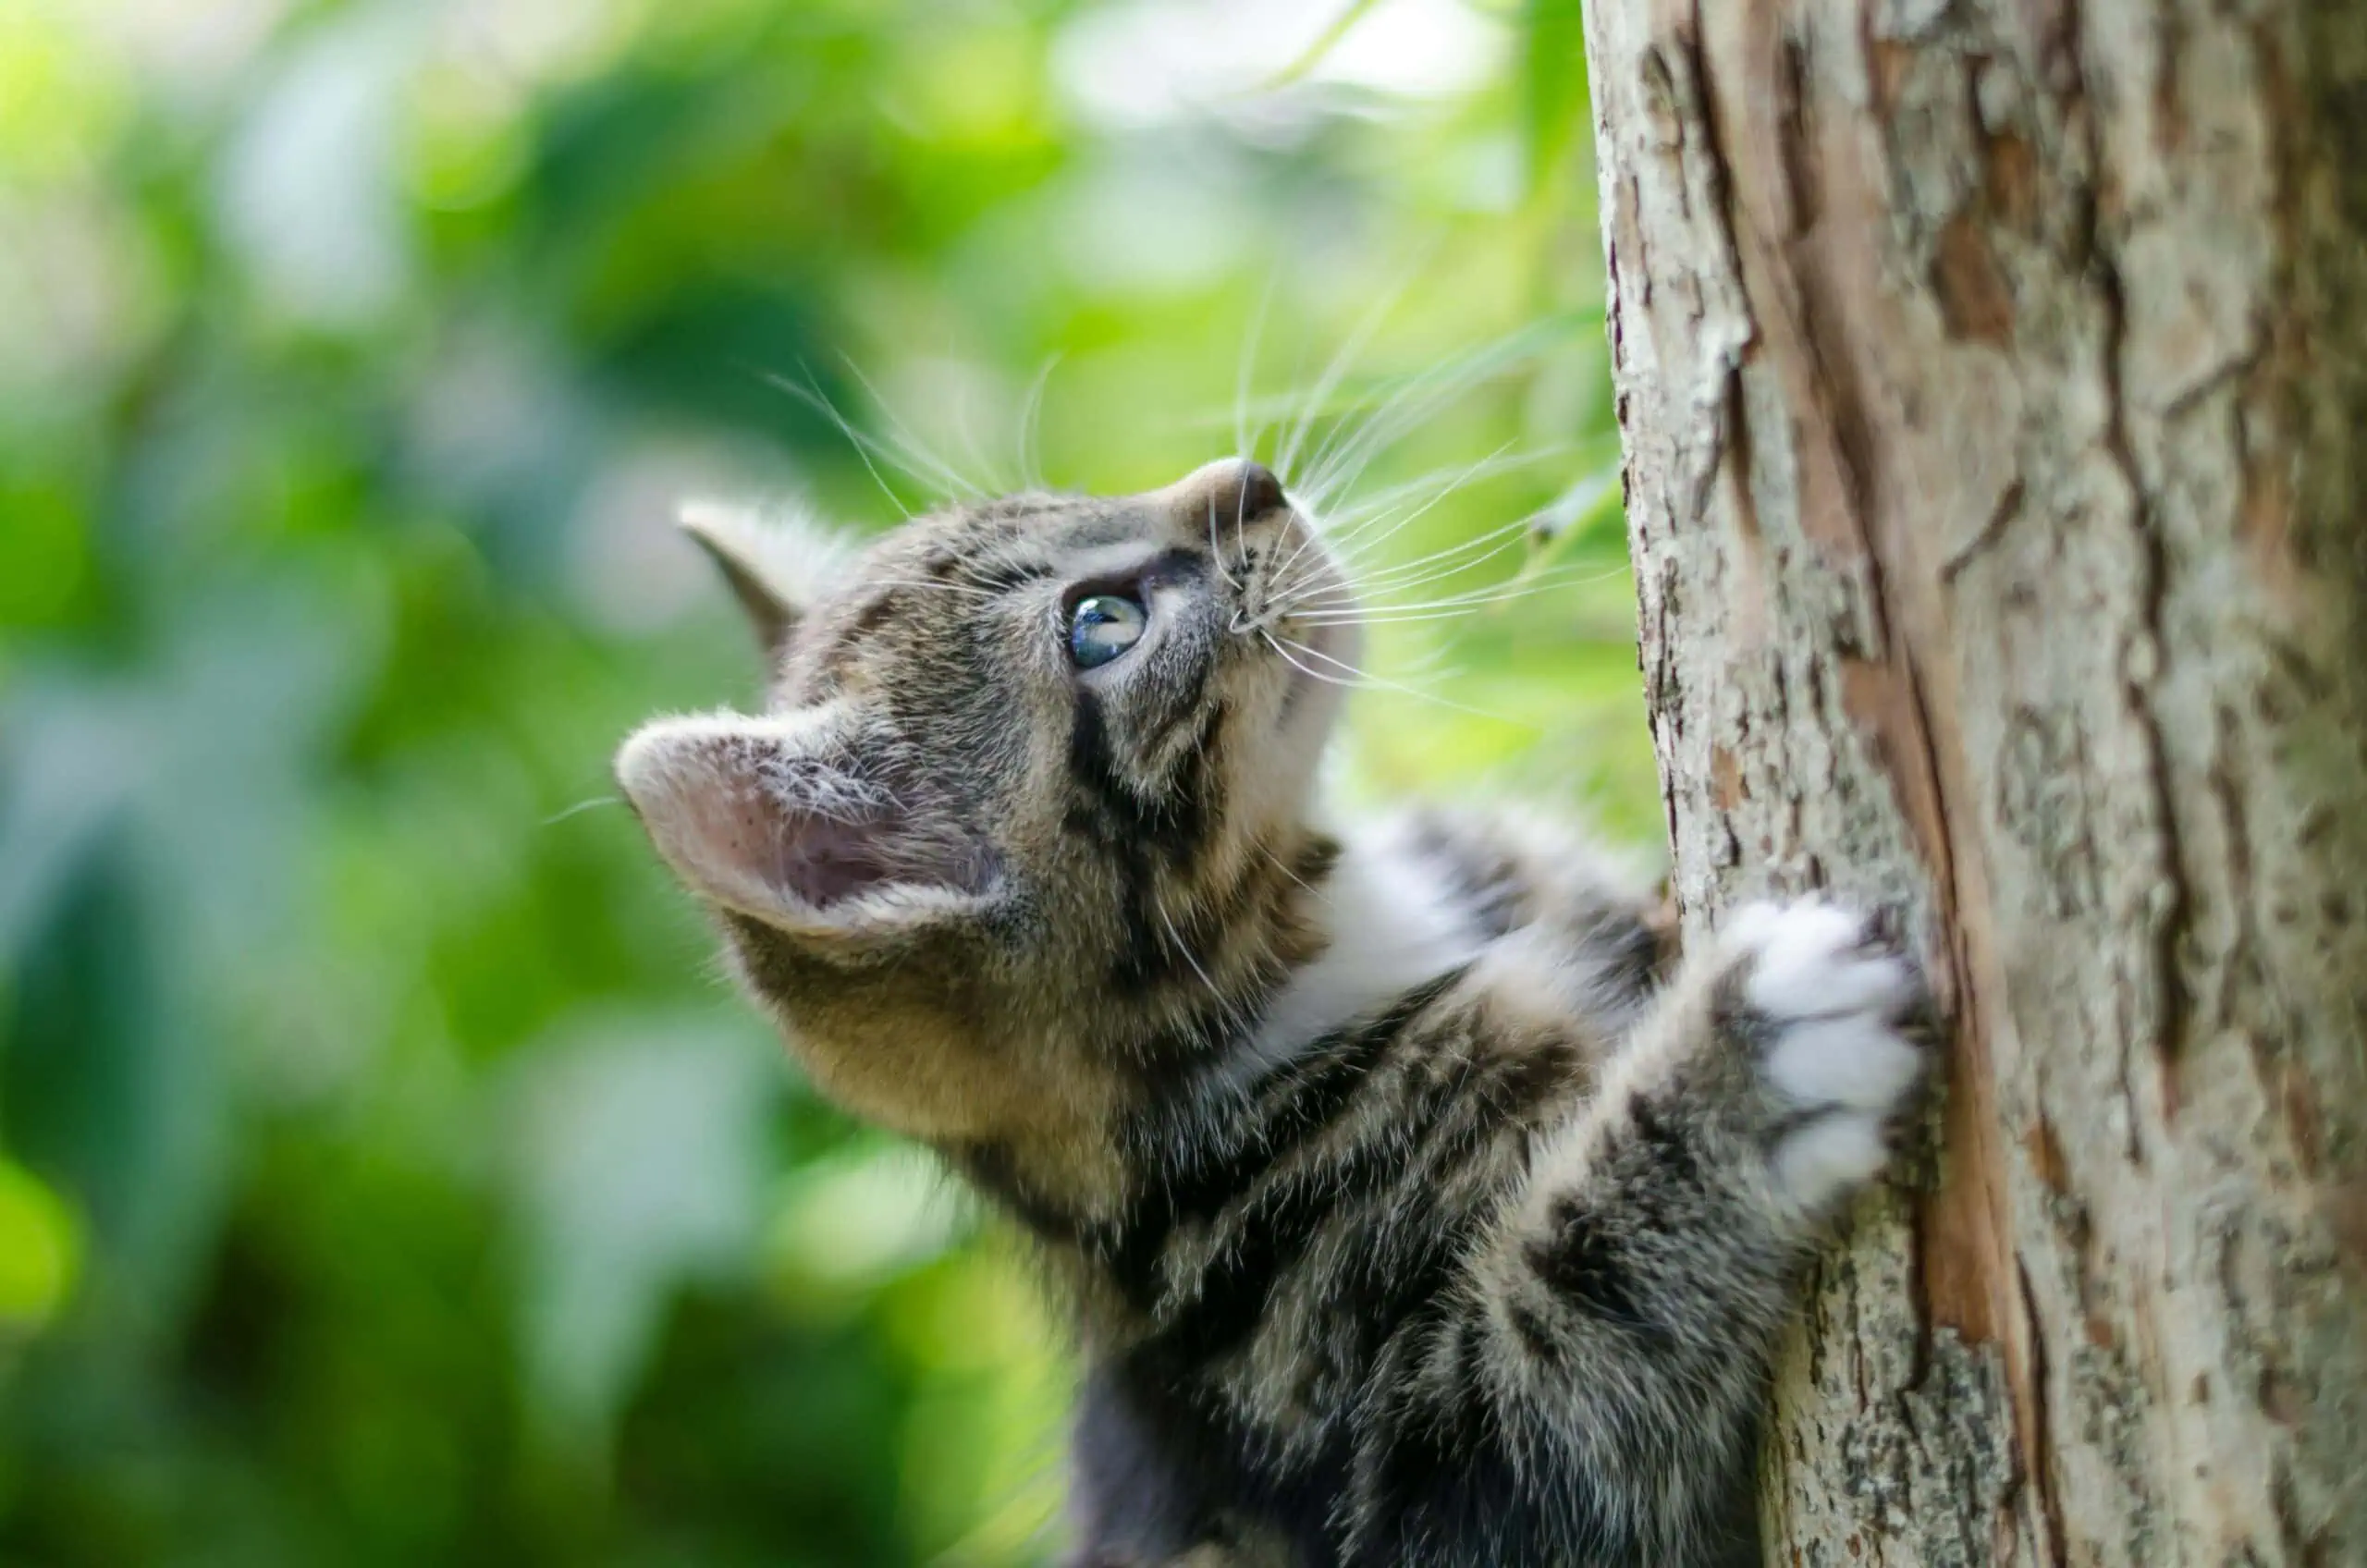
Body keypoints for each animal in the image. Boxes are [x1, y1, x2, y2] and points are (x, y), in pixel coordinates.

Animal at [619, 457, 1931, 1568]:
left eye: (1071, 494)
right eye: (1101, 624)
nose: (1248, 480)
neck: (1341, 931)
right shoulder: (1400, 1470)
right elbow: (1568, 1351)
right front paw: (1745, 1063)